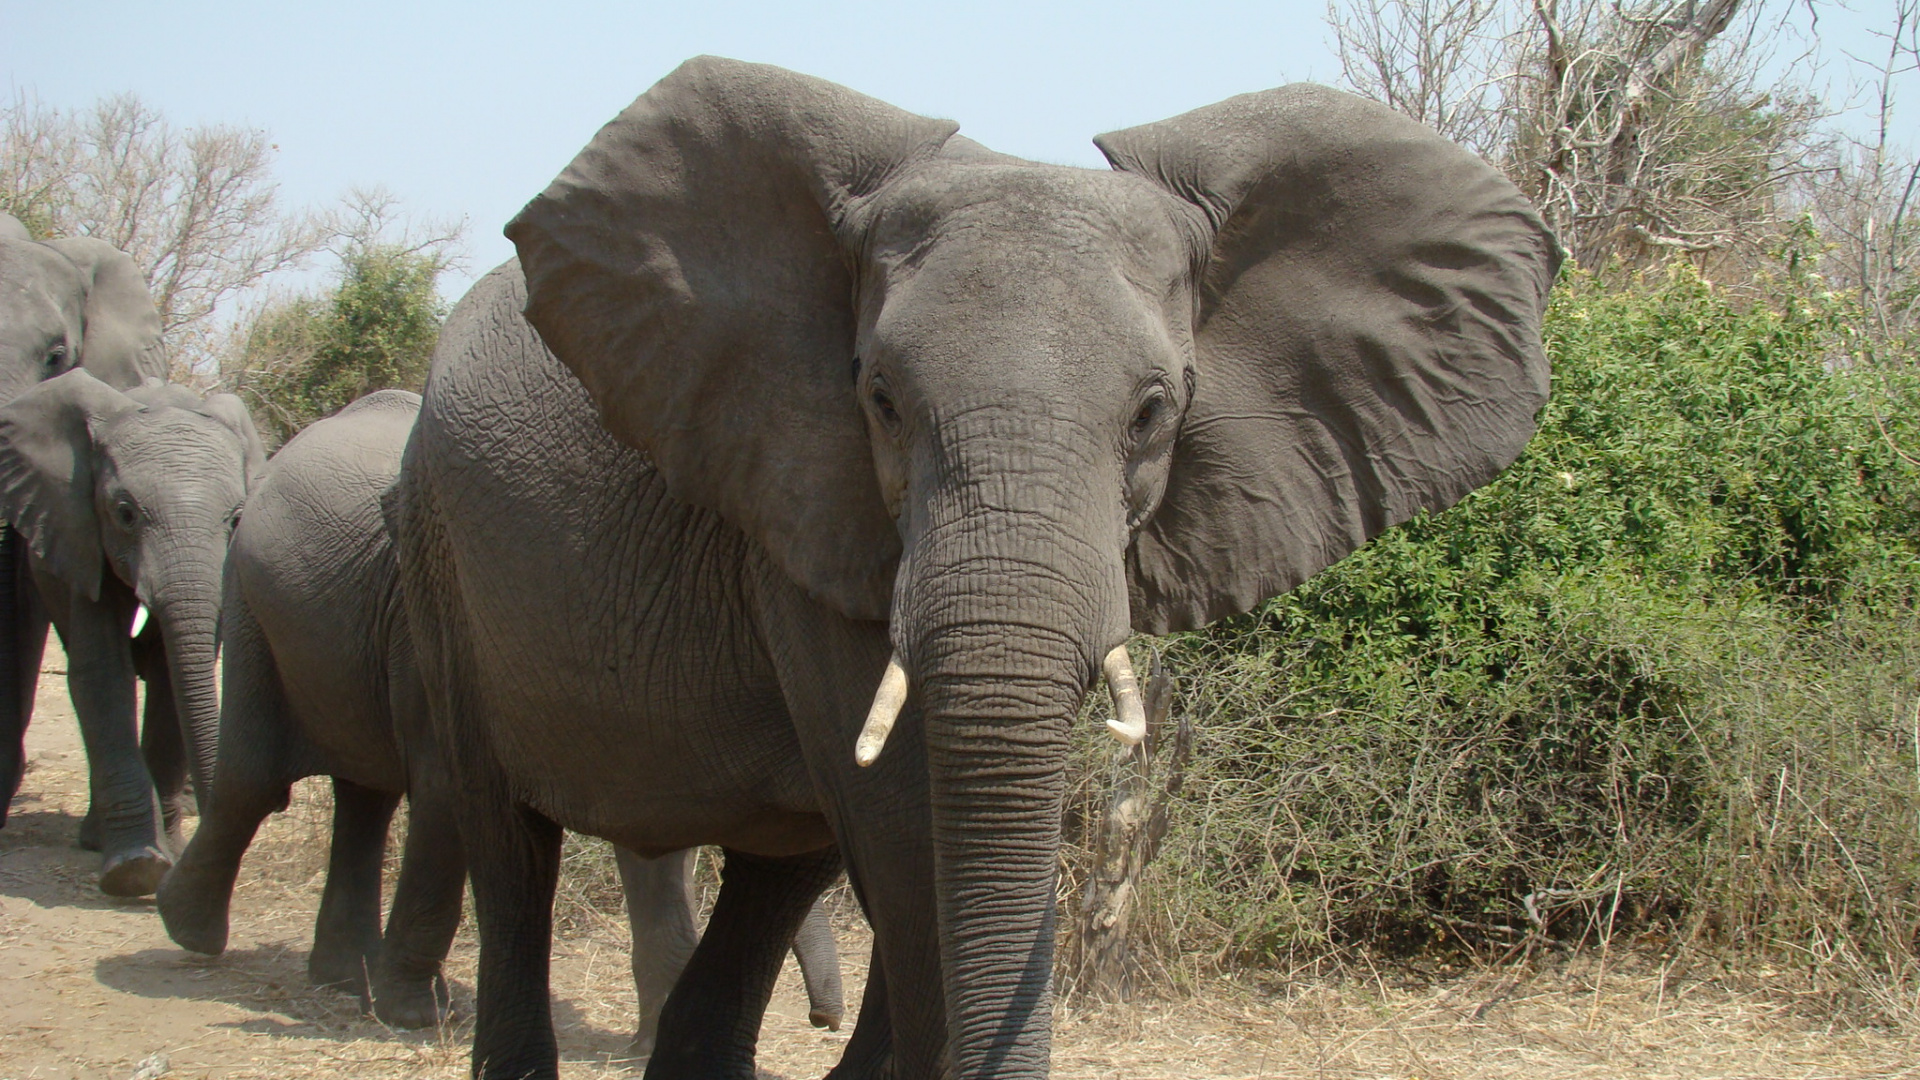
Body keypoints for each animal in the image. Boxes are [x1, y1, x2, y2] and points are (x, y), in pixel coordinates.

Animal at [0, 368, 263, 895]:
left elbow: (170, 674)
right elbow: (101, 674)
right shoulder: (79, 535)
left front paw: (171, 855)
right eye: (124, 514)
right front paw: (134, 869)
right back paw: (97, 841)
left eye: (236, 519)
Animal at [156, 390, 842, 1046]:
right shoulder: (441, 633)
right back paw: (187, 928)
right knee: (253, 781)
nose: (823, 1020)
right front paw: (414, 1016)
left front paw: (651, 1040)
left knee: (363, 799)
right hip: (248, 601)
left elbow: (653, 827)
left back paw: (340, 980)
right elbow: (444, 789)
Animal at [390, 58, 1559, 1079]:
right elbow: (910, 843)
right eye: (878, 399)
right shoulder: (802, 509)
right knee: (510, 847)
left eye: (1154, 413)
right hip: (436, 547)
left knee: (777, 873)